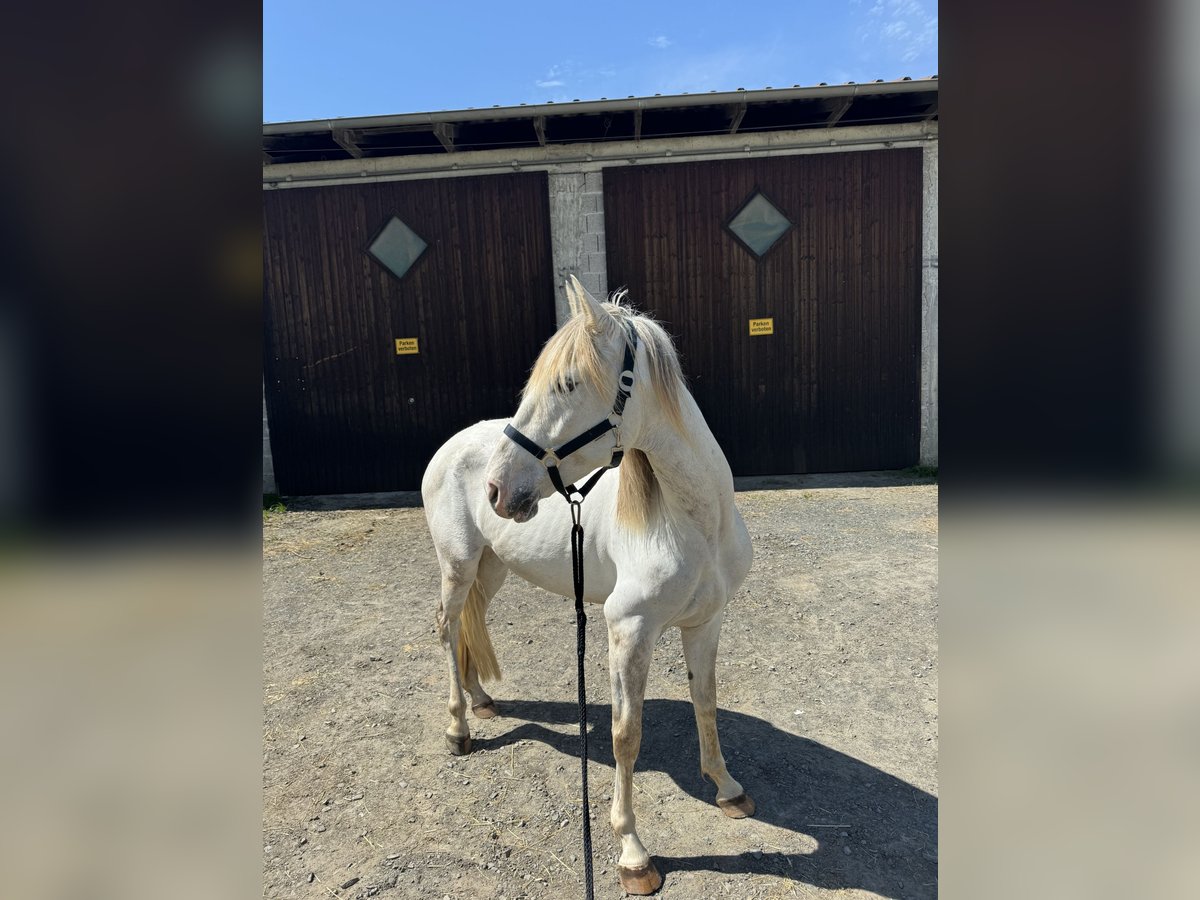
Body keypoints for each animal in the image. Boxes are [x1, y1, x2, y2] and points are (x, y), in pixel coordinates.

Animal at [422, 274, 753, 897]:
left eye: (568, 383)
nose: (497, 489)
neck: (695, 521)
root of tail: (453, 445)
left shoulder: (707, 621)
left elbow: (706, 701)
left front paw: (726, 788)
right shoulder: (629, 630)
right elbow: (626, 734)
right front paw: (632, 854)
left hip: (492, 568)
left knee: (470, 628)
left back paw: (482, 702)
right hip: (458, 566)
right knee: (448, 628)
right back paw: (457, 728)